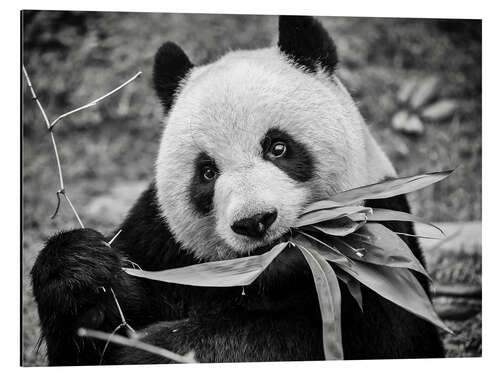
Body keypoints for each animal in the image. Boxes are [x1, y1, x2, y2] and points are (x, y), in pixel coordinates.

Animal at [30, 16, 446, 366]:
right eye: (207, 172)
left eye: (278, 147)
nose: (255, 221)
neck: (267, 273)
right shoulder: (159, 242)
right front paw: (83, 271)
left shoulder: (380, 244)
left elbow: (384, 336)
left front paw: (157, 350)